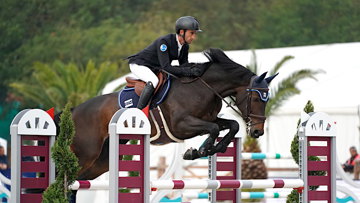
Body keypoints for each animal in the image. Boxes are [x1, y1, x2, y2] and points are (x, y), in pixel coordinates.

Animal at [57, 48, 278, 181]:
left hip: (102, 160)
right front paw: (198, 151)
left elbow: (232, 125)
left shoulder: (207, 119)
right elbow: (215, 128)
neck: (203, 87)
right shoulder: (182, 125)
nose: (257, 132)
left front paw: (214, 148)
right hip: (87, 153)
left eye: (267, 99)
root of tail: (74, 110)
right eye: (257, 98)